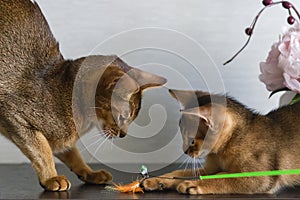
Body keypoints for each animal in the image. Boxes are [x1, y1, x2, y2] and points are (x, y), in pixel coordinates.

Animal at [0, 0, 166, 191]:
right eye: (124, 117)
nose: (124, 135)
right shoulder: (14, 116)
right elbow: (42, 151)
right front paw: (51, 177)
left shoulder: (61, 140)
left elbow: (71, 153)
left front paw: (89, 173)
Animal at [142, 90, 300, 195]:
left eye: (192, 140)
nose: (184, 151)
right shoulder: (209, 168)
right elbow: (180, 172)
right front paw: (157, 180)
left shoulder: (261, 177)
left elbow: (223, 177)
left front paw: (194, 184)